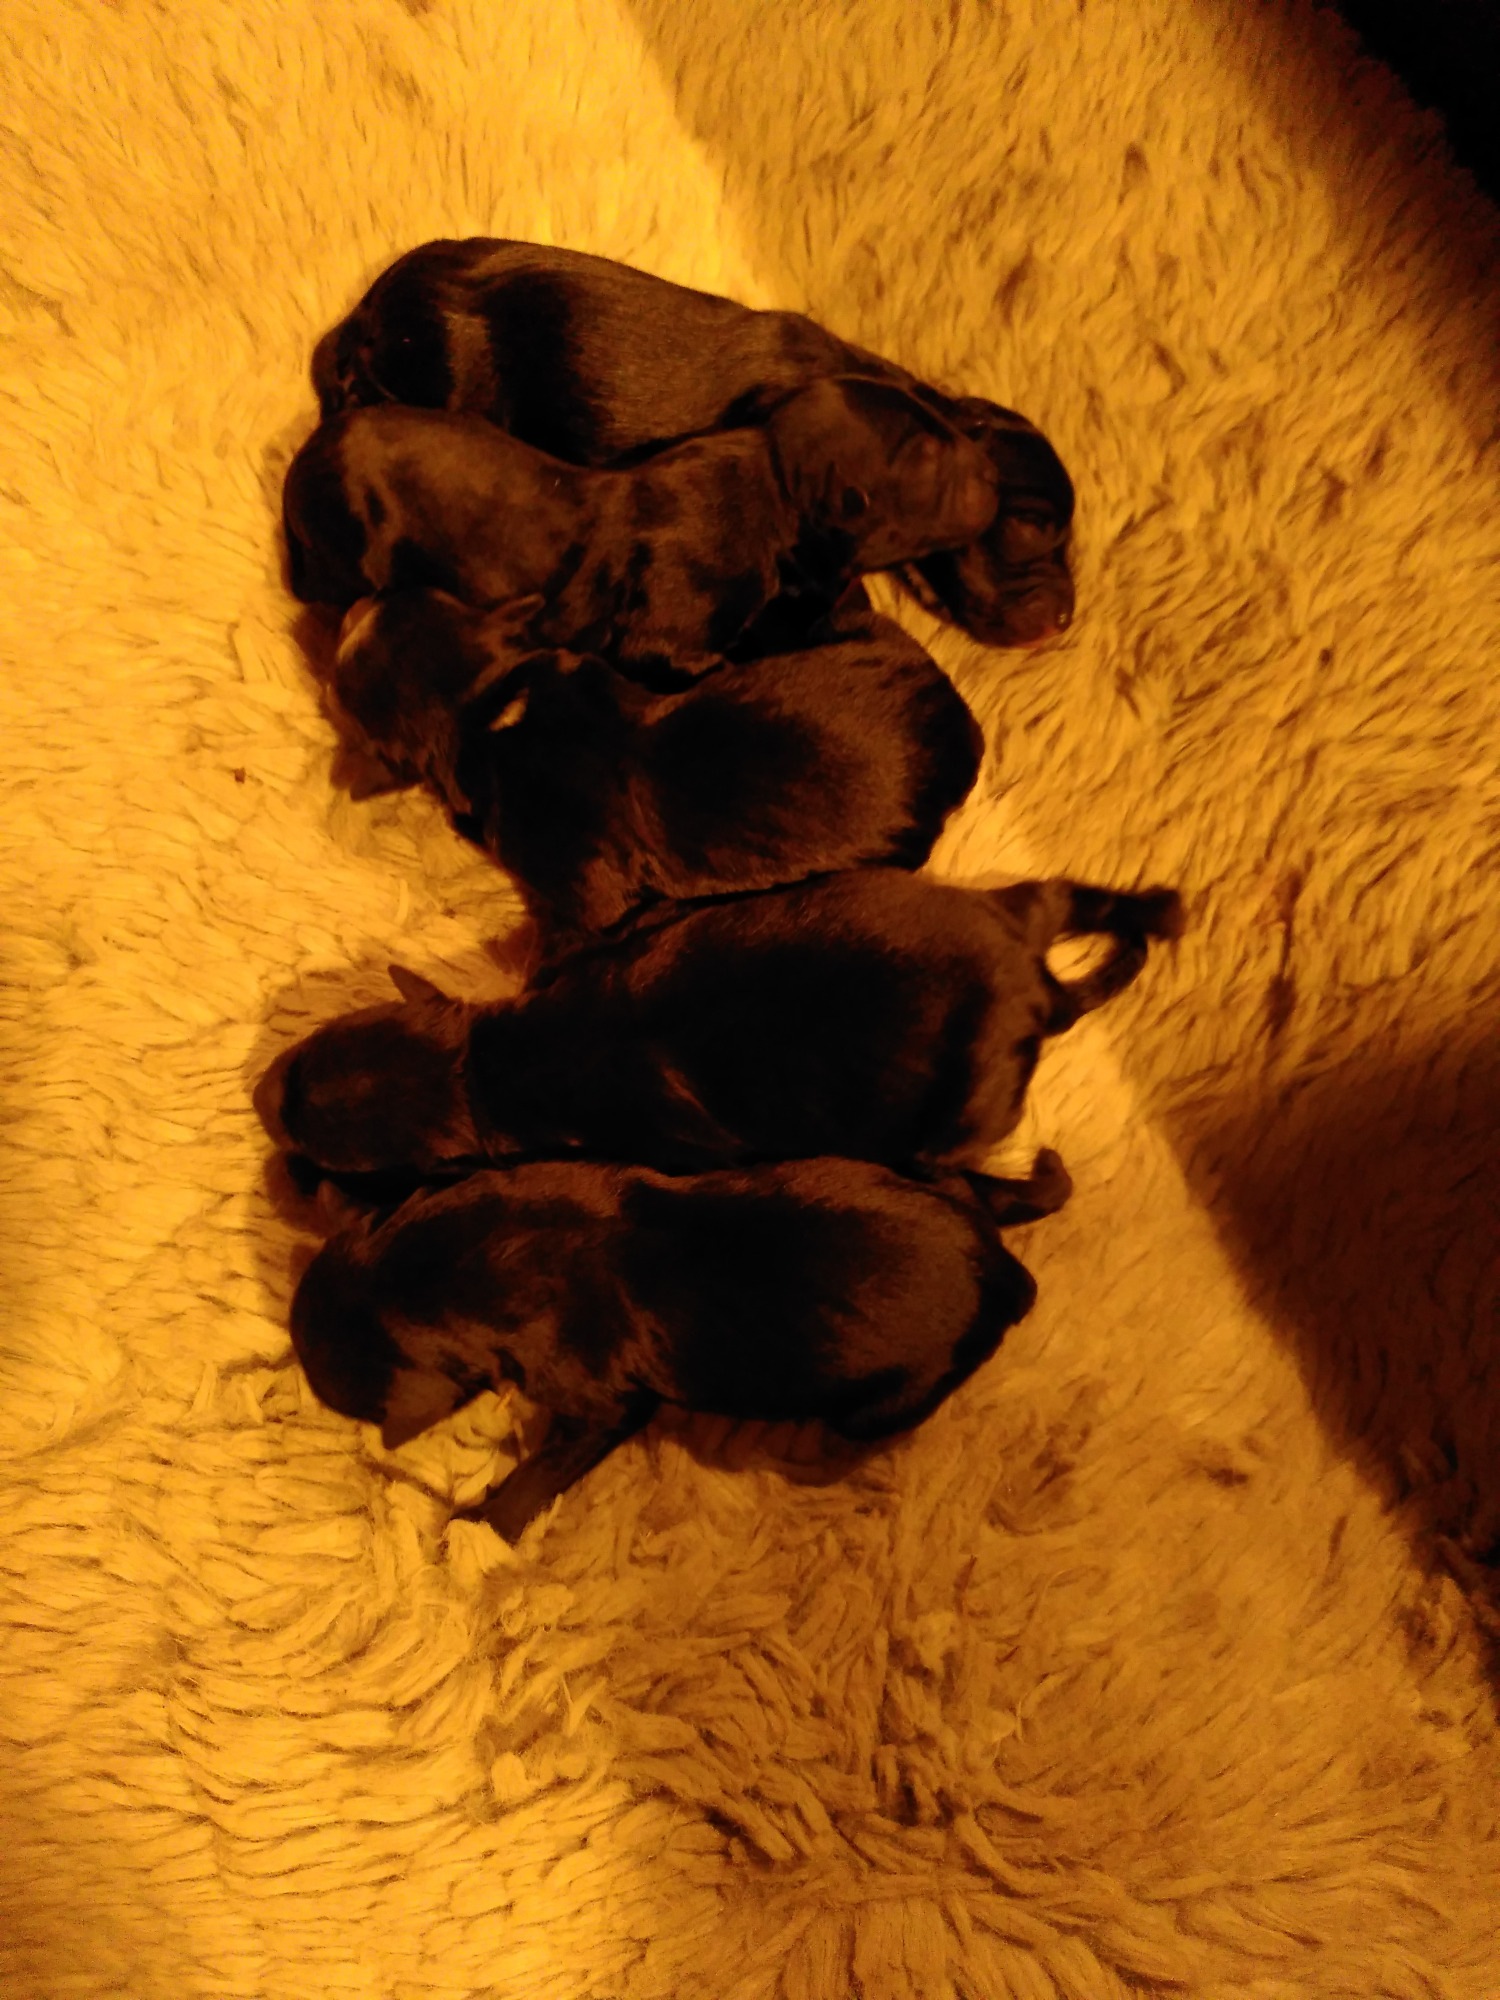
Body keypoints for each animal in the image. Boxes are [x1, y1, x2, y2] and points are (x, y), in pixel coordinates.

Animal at [254, 870, 1183, 1180]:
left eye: (316, 1139)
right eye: (308, 1052)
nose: (257, 1093)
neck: (494, 1063)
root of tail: (1030, 970)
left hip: (956, 1118)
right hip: (1011, 899)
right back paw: (1152, 913)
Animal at [289, 1148, 1072, 1541]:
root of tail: (1000, 1268)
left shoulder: (602, 1406)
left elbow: (543, 1468)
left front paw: (485, 1523)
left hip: (885, 1401)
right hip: (921, 1177)